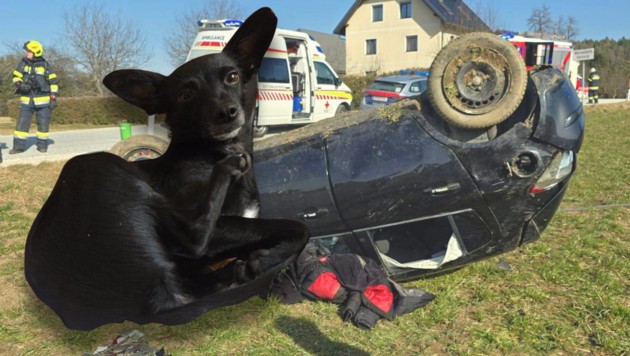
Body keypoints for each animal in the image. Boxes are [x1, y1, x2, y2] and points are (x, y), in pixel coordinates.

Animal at [23, 7, 310, 330]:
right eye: (186, 95)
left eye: (233, 77)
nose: (225, 113)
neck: (208, 152)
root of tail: (144, 308)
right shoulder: (219, 226)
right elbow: (300, 227)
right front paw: (267, 260)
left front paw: (258, 262)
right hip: (97, 165)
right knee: (194, 238)